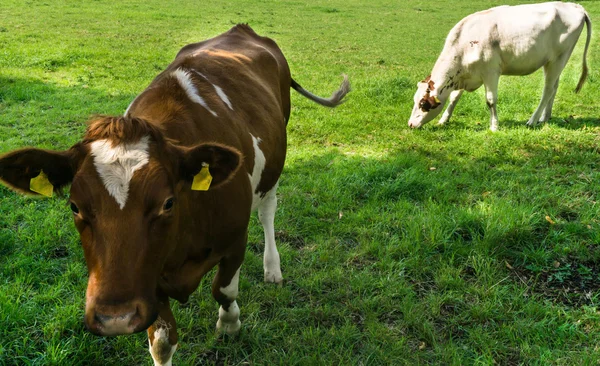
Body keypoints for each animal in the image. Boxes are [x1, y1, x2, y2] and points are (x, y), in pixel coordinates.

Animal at [0, 24, 350, 364]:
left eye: (167, 203)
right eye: (74, 206)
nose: (115, 318)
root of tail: (243, 29)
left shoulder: (235, 239)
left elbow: (224, 290)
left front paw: (230, 325)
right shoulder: (147, 283)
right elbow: (162, 342)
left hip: (275, 162)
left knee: (267, 211)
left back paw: (272, 269)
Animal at [408, 2, 592, 132]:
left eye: (423, 104)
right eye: (415, 100)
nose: (410, 124)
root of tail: (574, 6)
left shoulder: (490, 72)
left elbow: (490, 100)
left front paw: (494, 126)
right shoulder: (464, 75)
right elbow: (454, 98)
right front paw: (443, 120)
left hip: (558, 59)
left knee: (547, 90)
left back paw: (533, 120)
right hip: (555, 62)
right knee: (554, 87)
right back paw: (545, 117)